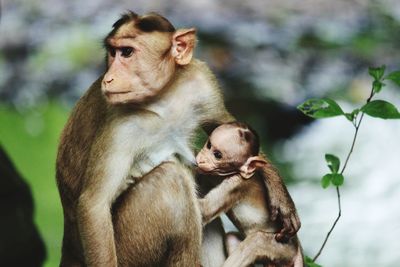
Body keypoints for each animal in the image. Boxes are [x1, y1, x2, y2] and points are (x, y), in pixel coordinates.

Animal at [196, 123, 304, 267]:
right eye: (209, 145)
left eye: (217, 155)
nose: (201, 159)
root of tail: (296, 247)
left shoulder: (237, 185)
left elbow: (205, 209)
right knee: (232, 238)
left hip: (283, 248)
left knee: (256, 242)